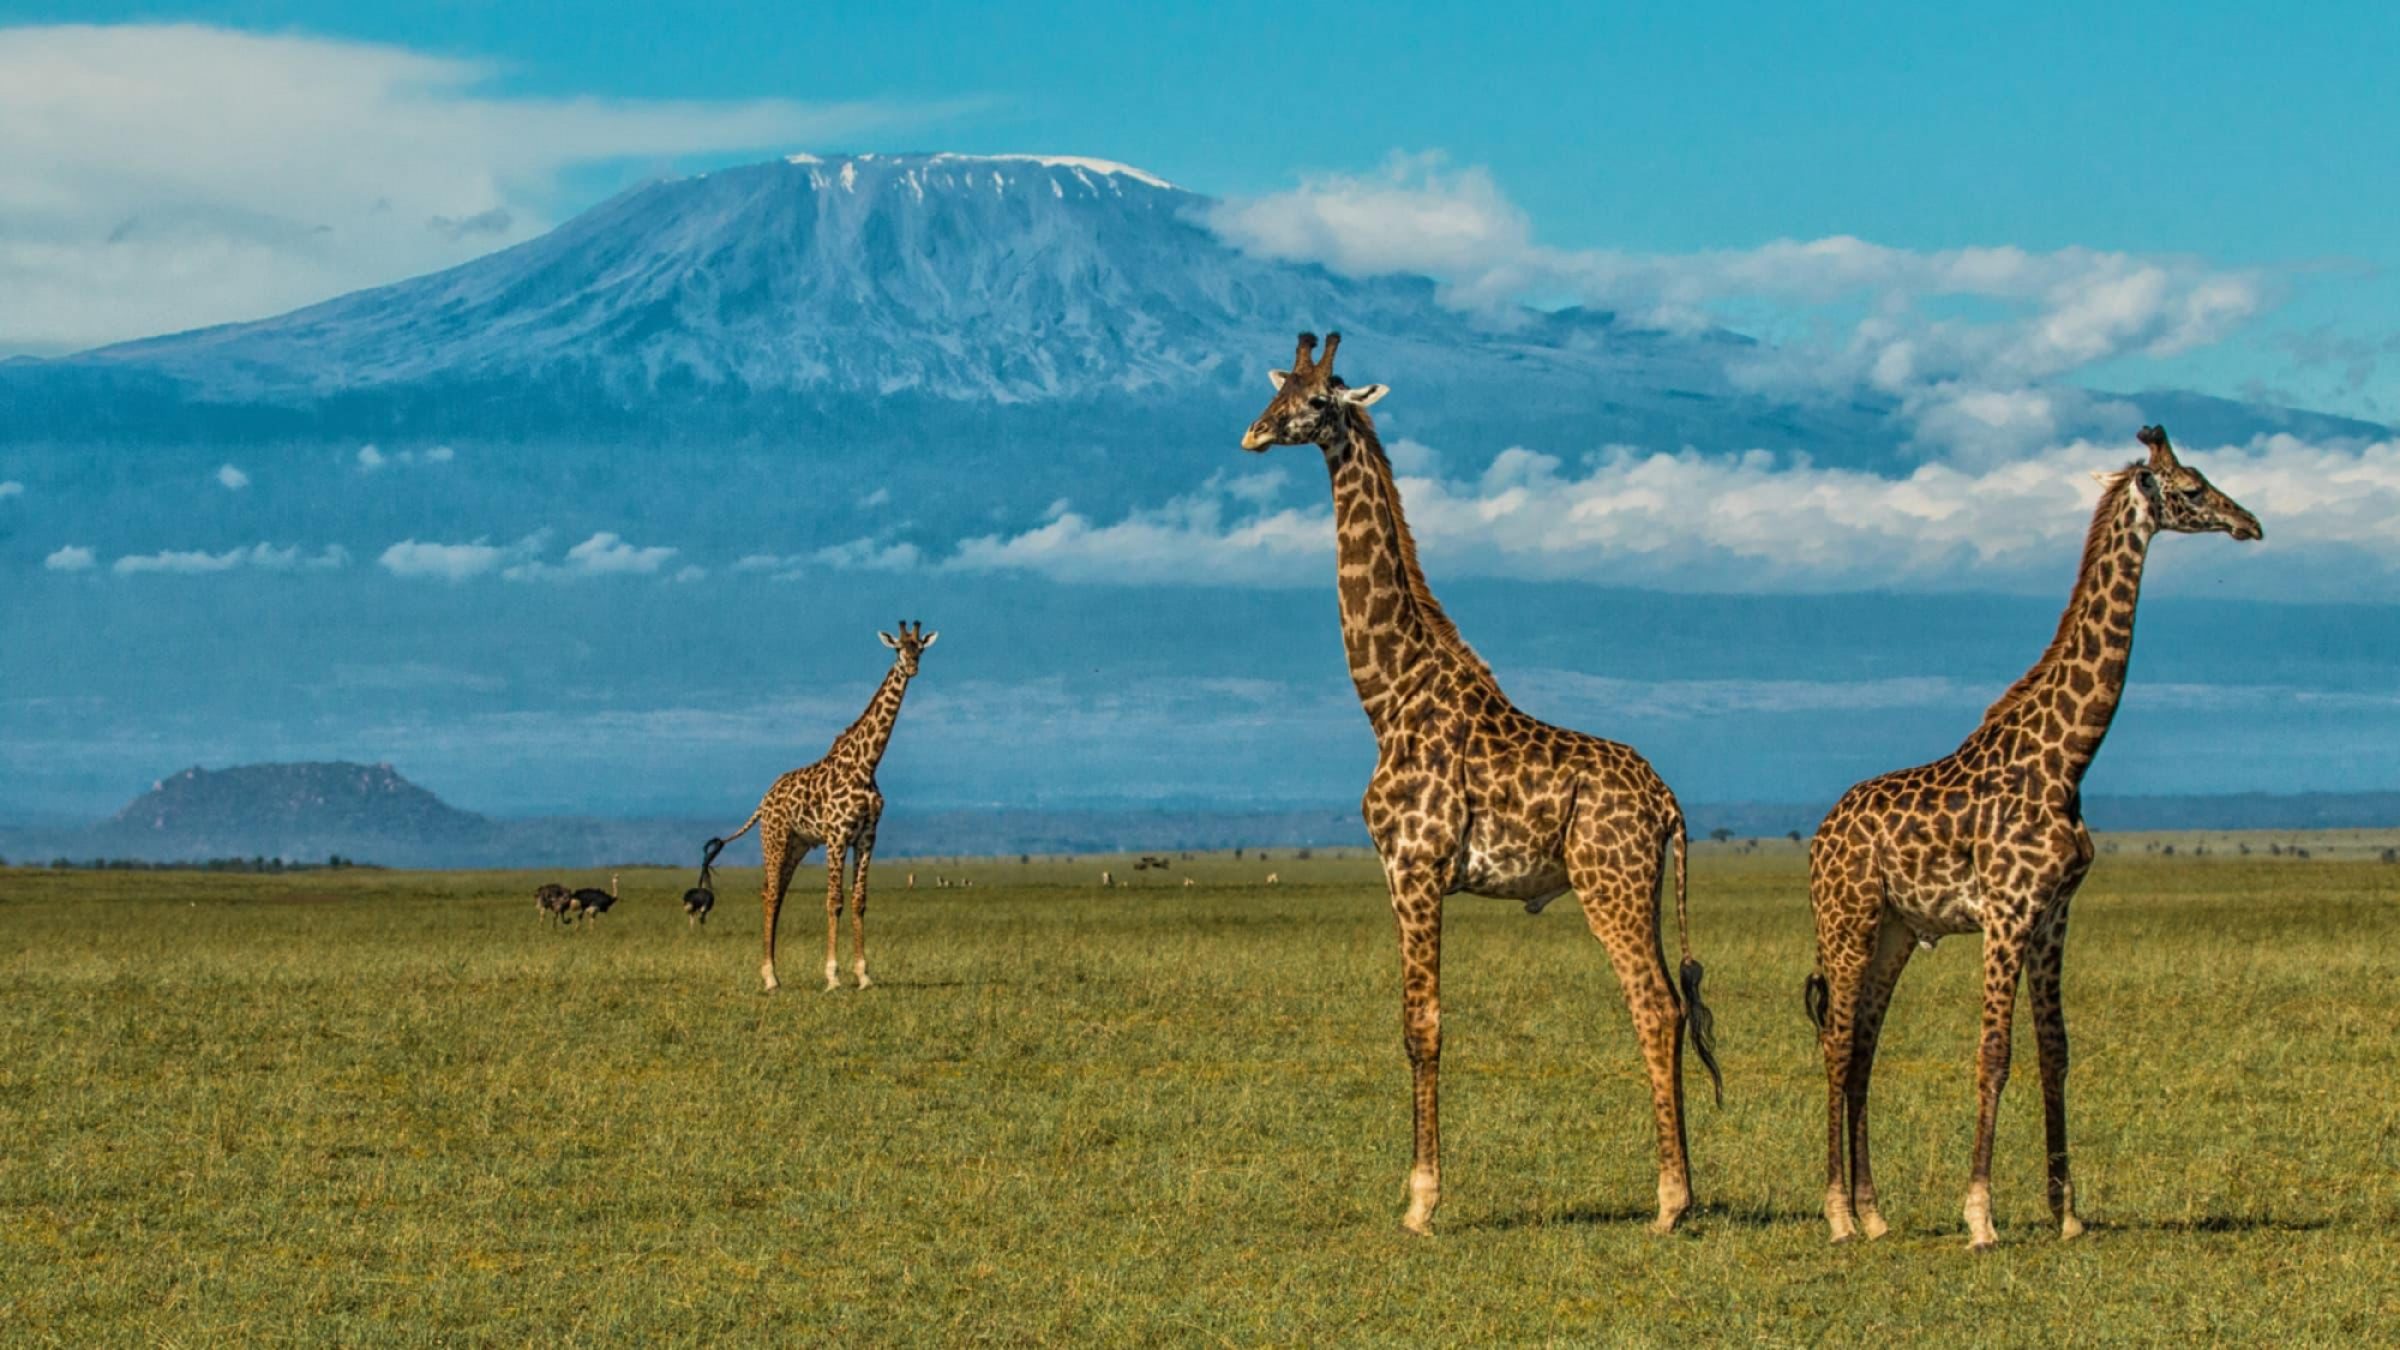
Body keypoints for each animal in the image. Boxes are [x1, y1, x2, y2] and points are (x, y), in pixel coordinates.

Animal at [700, 619, 931, 989]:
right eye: (898, 648)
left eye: (919, 648)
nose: (911, 667)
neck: (866, 764)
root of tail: (763, 801)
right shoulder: (836, 835)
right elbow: (834, 900)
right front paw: (833, 977)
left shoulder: (867, 837)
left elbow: (859, 900)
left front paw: (864, 975)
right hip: (775, 839)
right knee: (769, 894)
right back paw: (770, 977)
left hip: (797, 845)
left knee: (776, 893)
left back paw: (773, 973)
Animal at [1238, 329, 1728, 1229]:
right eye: (1277, 388)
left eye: (1318, 400)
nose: (1254, 433)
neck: (1388, 695)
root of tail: (1670, 804)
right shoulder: (1403, 872)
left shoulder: (1415, 866)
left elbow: (1421, 1025)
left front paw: (1421, 1202)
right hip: (1638, 889)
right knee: (1672, 1007)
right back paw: (1681, 1192)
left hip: (1608, 884)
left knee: (1653, 1004)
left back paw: (1671, 1202)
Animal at [1804, 425, 2256, 1249]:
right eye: (2194, 487)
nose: (2251, 523)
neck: (2068, 757)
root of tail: (1820, 838)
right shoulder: (2008, 912)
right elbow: (1994, 1052)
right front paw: (1980, 1215)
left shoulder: (2054, 915)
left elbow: (2056, 1052)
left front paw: (2067, 1212)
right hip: (1847, 922)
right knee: (1838, 1046)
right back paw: (1840, 1215)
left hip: (1893, 932)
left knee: (1865, 1051)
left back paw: (1877, 1213)